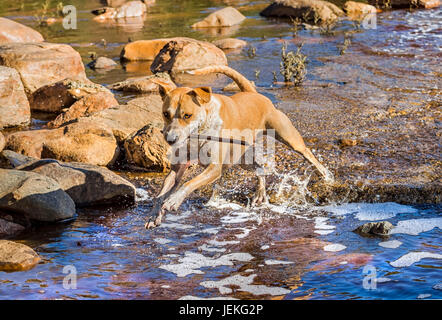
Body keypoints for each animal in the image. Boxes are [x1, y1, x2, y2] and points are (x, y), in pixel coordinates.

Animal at [145, 66, 332, 229]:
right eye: (165, 114)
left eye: (187, 115)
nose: (170, 139)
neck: (199, 132)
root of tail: (252, 93)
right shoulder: (177, 168)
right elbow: (160, 195)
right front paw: (154, 216)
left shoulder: (214, 168)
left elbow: (189, 183)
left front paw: (173, 200)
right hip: (242, 158)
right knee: (260, 168)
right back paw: (260, 193)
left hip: (288, 137)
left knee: (307, 154)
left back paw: (326, 176)